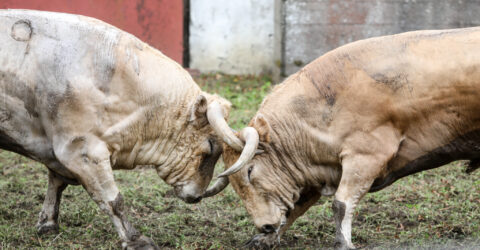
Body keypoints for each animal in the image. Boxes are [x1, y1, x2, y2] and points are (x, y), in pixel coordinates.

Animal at [0, 9, 235, 248]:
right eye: (209, 148)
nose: (197, 196)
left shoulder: (61, 152)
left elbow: (56, 184)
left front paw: (48, 224)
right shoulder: (82, 151)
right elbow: (113, 200)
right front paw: (135, 240)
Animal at [204, 26, 480, 249]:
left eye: (250, 171)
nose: (264, 225)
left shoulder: (366, 156)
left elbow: (341, 204)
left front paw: (344, 242)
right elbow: (296, 206)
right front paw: (265, 239)